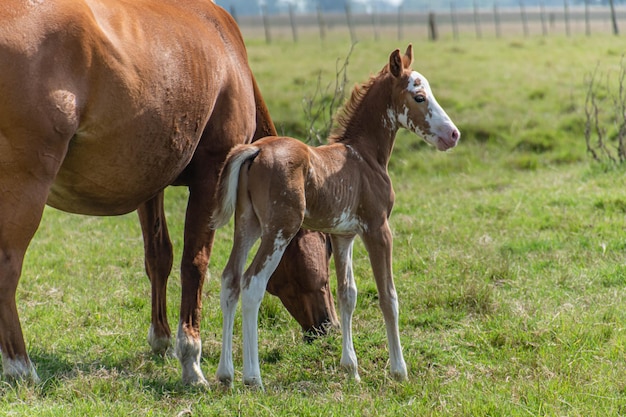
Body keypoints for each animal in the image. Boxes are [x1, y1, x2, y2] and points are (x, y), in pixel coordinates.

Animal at [0, 0, 336, 386]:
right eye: (324, 251)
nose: (328, 326)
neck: (227, 51)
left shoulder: (151, 183)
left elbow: (158, 256)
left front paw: (160, 340)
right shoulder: (212, 175)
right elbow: (195, 263)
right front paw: (190, 358)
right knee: (7, 268)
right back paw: (20, 366)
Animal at [210, 45, 458, 386]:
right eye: (419, 97)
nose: (453, 135)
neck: (364, 156)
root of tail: (256, 150)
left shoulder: (343, 235)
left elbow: (347, 295)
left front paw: (350, 368)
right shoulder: (378, 229)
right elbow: (388, 296)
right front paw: (399, 370)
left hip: (248, 226)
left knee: (230, 281)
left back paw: (225, 373)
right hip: (279, 230)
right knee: (252, 283)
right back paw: (253, 377)